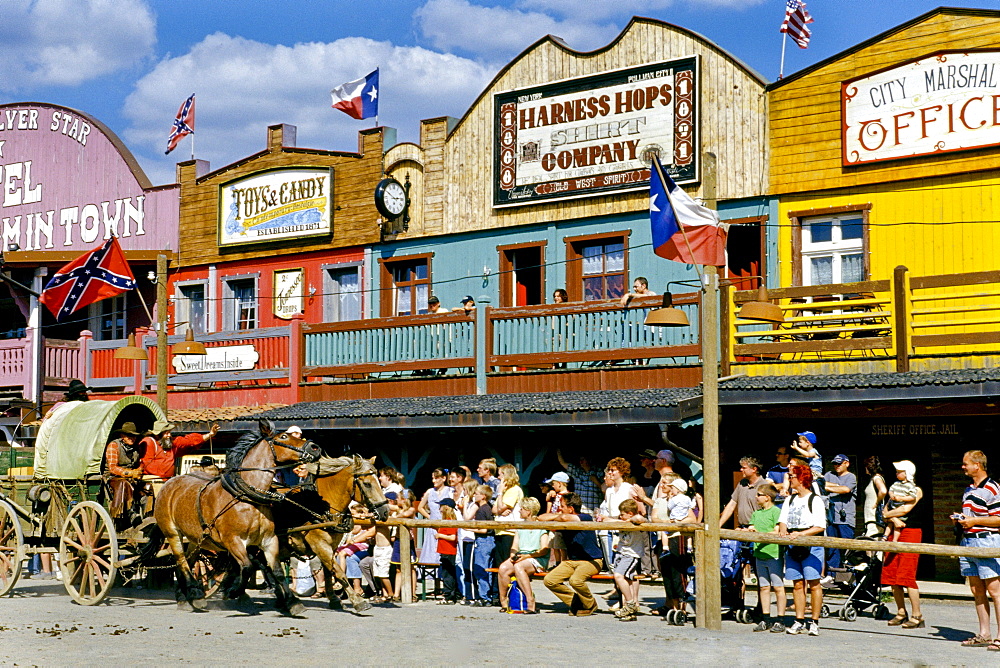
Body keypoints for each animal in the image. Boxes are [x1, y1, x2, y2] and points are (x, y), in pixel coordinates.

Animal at [154, 422, 318, 616]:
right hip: (172, 533)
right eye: (284, 437)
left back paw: (186, 597)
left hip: (195, 539)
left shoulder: (269, 540)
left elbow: (276, 571)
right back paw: (195, 594)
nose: (315, 447)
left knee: (188, 561)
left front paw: (293, 602)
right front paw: (233, 592)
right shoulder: (233, 541)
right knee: (181, 561)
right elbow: (247, 567)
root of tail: (170, 483)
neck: (247, 498)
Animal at [280, 454, 392, 612]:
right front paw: (357, 601)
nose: (385, 511)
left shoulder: (331, 546)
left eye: (379, 482)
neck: (321, 507)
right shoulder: (320, 545)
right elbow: (339, 572)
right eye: (367, 484)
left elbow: (329, 570)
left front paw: (334, 599)